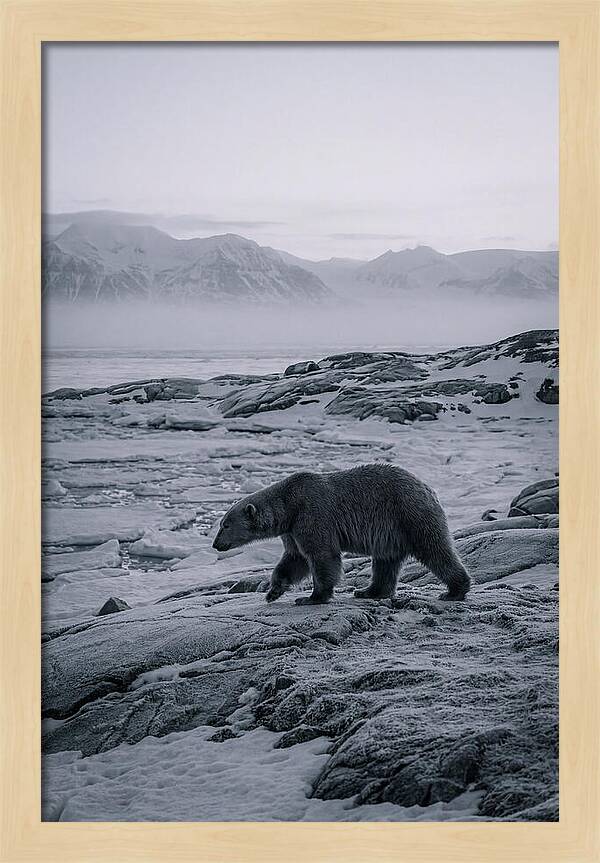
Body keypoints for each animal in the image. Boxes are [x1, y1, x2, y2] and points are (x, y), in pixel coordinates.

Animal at [212, 463, 470, 605]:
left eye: (225, 525)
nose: (215, 544)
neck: (289, 505)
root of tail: (428, 488)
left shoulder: (312, 514)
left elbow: (321, 555)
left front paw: (312, 597)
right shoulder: (292, 529)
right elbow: (294, 558)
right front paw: (273, 591)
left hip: (409, 514)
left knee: (435, 549)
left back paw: (455, 590)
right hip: (391, 532)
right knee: (385, 562)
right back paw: (368, 591)